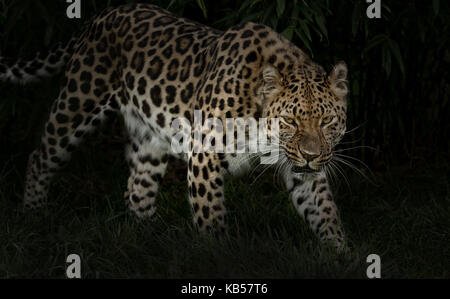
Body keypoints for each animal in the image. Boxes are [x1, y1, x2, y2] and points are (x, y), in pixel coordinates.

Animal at [0, 3, 350, 254]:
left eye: (327, 121)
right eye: (289, 121)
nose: (310, 155)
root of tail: (101, 15)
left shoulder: (302, 170)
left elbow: (324, 211)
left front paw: (341, 255)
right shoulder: (205, 153)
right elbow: (211, 215)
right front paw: (220, 258)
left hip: (149, 141)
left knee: (136, 189)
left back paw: (148, 238)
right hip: (77, 103)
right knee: (40, 156)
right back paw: (33, 215)